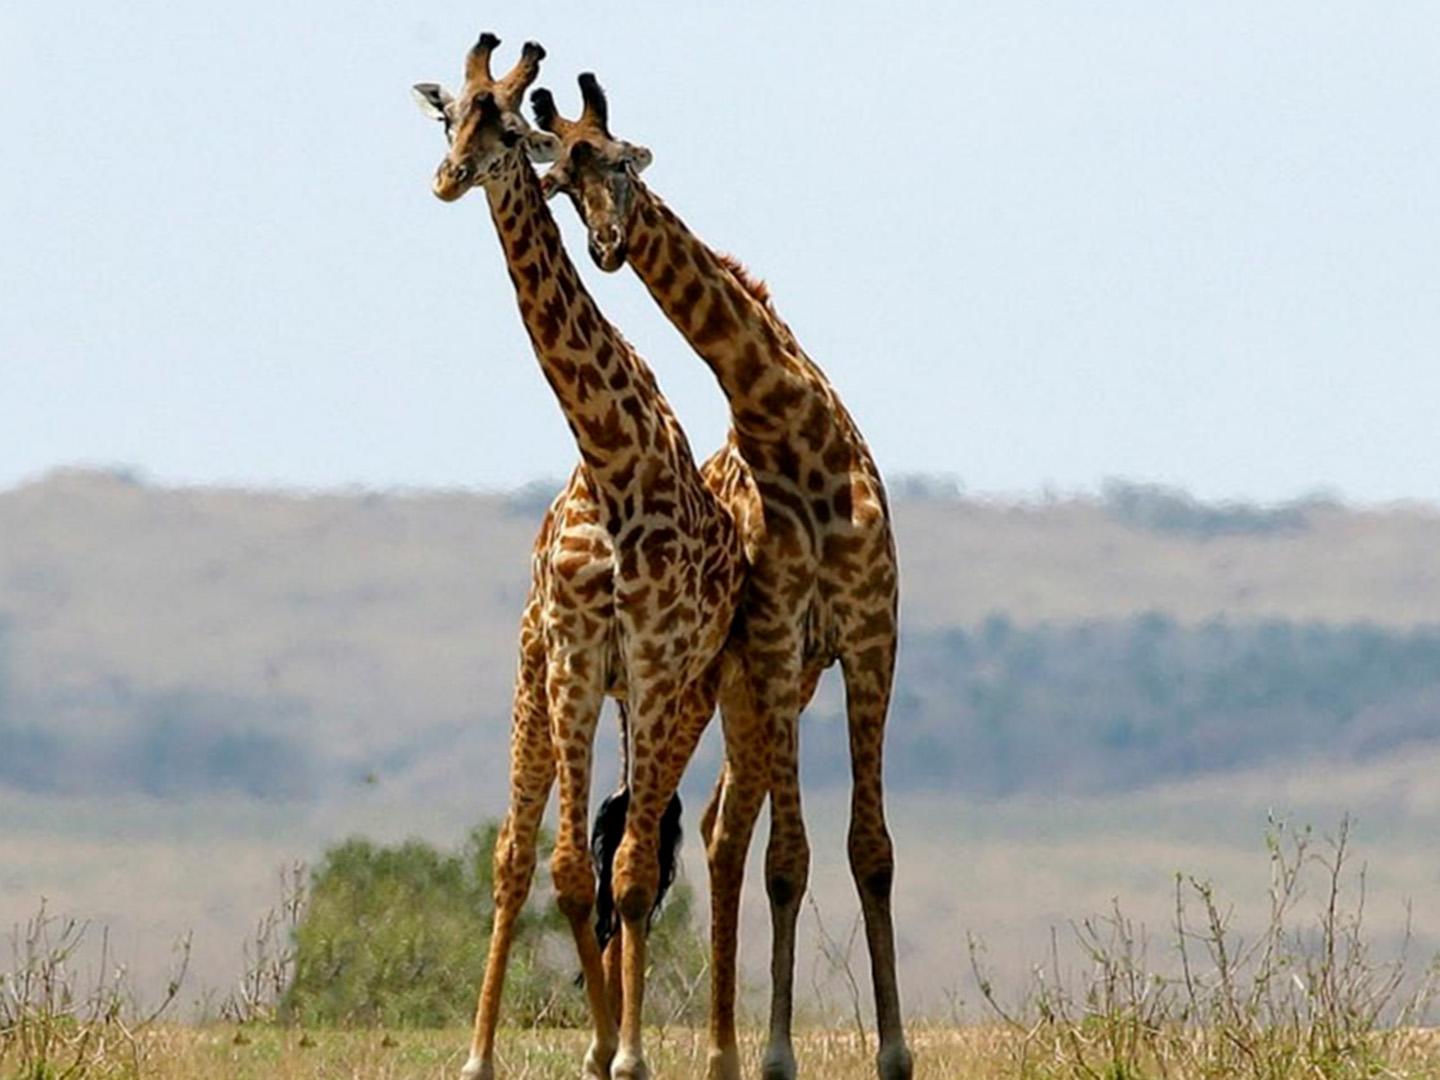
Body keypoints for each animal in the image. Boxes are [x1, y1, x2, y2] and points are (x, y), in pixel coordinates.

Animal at [411, 36, 748, 1080]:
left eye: (505, 124)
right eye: (451, 117)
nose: (446, 180)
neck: (611, 462)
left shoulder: (653, 661)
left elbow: (630, 868)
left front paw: (628, 1051)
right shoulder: (569, 655)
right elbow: (558, 866)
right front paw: (585, 1047)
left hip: (681, 696)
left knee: (643, 851)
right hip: (545, 684)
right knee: (523, 856)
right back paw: (503, 1050)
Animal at [535, 78, 915, 1080]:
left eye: (619, 160)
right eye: (565, 181)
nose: (607, 246)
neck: (794, 439)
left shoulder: (872, 642)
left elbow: (871, 850)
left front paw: (894, 1054)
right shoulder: (778, 648)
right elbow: (792, 859)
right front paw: (780, 1055)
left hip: (749, 689)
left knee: (719, 826)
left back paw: (720, 1053)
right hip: (726, 685)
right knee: (722, 832)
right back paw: (721, 1054)